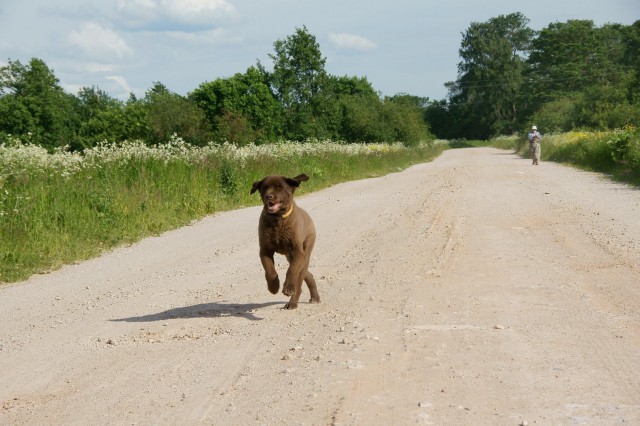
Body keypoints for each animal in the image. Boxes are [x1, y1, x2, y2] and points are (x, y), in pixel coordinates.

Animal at [250, 174, 320, 310]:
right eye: (264, 187)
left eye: (280, 188)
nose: (269, 196)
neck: (278, 219)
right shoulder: (265, 250)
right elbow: (269, 271)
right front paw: (273, 287)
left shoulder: (298, 252)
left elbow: (292, 270)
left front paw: (288, 288)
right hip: (290, 256)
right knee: (308, 275)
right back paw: (314, 297)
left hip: (305, 252)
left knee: (299, 281)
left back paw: (293, 302)